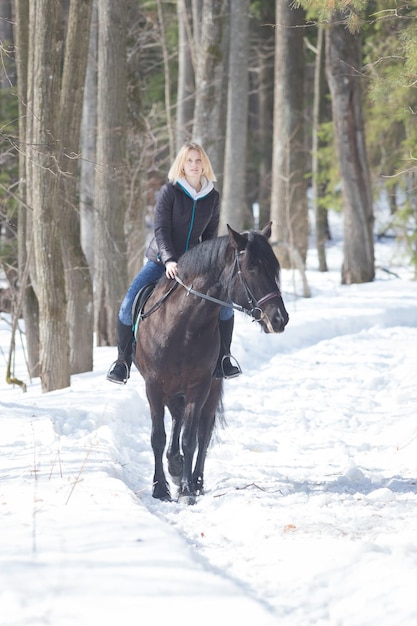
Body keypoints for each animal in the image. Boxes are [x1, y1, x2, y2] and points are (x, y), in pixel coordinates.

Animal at [134, 223, 290, 502]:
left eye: (274, 269)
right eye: (252, 269)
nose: (279, 319)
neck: (183, 326)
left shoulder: (200, 386)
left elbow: (191, 439)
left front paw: (186, 490)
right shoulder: (153, 386)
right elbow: (158, 437)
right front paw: (160, 488)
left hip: (211, 389)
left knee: (203, 433)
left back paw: (194, 479)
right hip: (171, 390)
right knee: (177, 420)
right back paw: (174, 466)